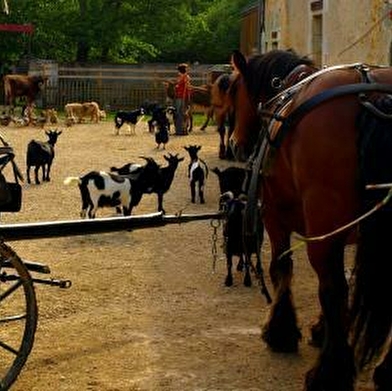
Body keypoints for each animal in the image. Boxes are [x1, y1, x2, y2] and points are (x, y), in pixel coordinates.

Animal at [228, 49, 390, 391]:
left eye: (234, 91)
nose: (234, 144)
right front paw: (321, 329)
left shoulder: (274, 217)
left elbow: (281, 268)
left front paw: (281, 330)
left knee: (332, 290)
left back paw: (329, 373)